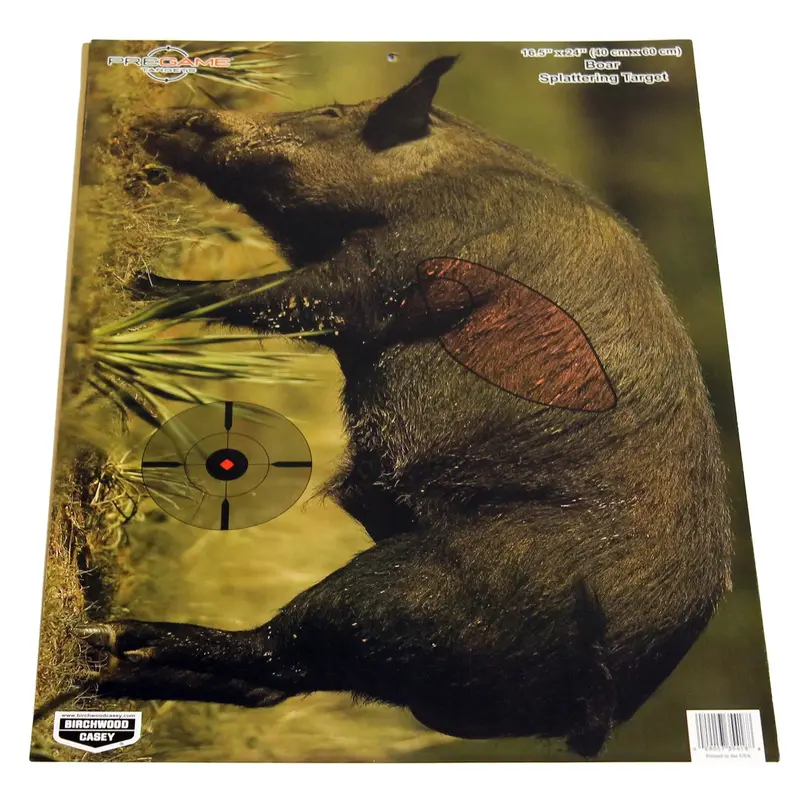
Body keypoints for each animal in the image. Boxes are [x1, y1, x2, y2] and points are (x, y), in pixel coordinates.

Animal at [76, 56, 732, 757]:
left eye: (331, 113)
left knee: (277, 651)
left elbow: (271, 297)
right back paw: (103, 674)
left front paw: (139, 283)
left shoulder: (380, 276)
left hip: (418, 588)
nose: (174, 114)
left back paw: (110, 638)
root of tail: (599, 707)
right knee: (272, 680)